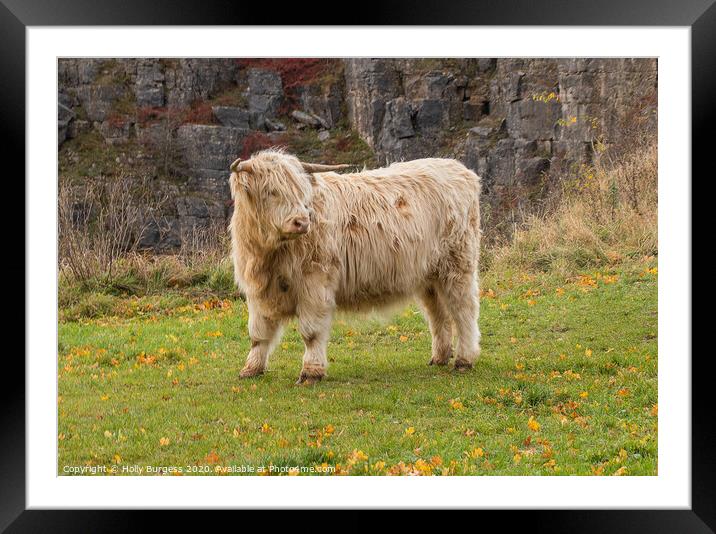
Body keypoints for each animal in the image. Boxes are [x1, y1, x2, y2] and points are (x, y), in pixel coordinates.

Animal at [229, 151, 482, 386]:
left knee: (463, 311)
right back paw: (440, 357)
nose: (301, 222)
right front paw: (251, 369)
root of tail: (459, 169)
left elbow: (311, 332)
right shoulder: (258, 291)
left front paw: (311, 372)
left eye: (301, 193)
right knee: (438, 314)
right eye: (271, 191)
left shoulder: (315, 285)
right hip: (429, 276)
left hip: (458, 266)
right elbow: (259, 333)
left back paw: (464, 360)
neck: (269, 255)